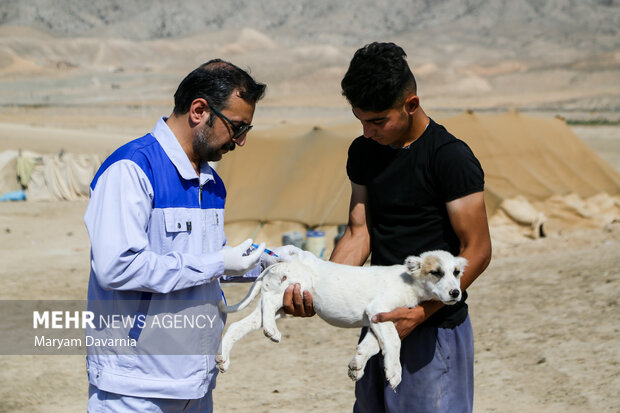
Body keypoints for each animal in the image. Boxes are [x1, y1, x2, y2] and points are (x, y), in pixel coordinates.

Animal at [217, 249, 464, 388]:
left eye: (457, 273)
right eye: (436, 272)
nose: (456, 293)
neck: (409, 281)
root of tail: (282, 262)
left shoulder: (377, 318)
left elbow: (372, 345)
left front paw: (358, 365)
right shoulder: (379, 310)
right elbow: (393, 341)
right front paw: (394, 372)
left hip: (280, 304)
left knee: (238, 325)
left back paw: (223, 358)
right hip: (292, 287)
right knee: (267, 302)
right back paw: (272, 331)